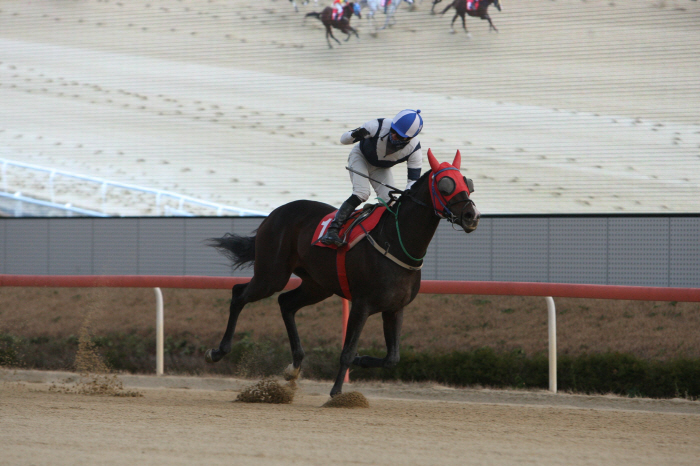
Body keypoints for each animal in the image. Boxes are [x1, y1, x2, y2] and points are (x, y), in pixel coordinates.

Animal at [206, 150, 482, 396]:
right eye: (445, 185)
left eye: (467, 183)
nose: (471, 215)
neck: (396, 241)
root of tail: (273, 214)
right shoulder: (362, 304)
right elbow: (347, 350)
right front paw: (337, 392)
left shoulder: (395, 308)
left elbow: (392, 358)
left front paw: (361, 360)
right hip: (271, 275)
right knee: (239, 294)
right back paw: (217, 351)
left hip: (317, 286)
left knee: (285, 303)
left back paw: (294, 367)